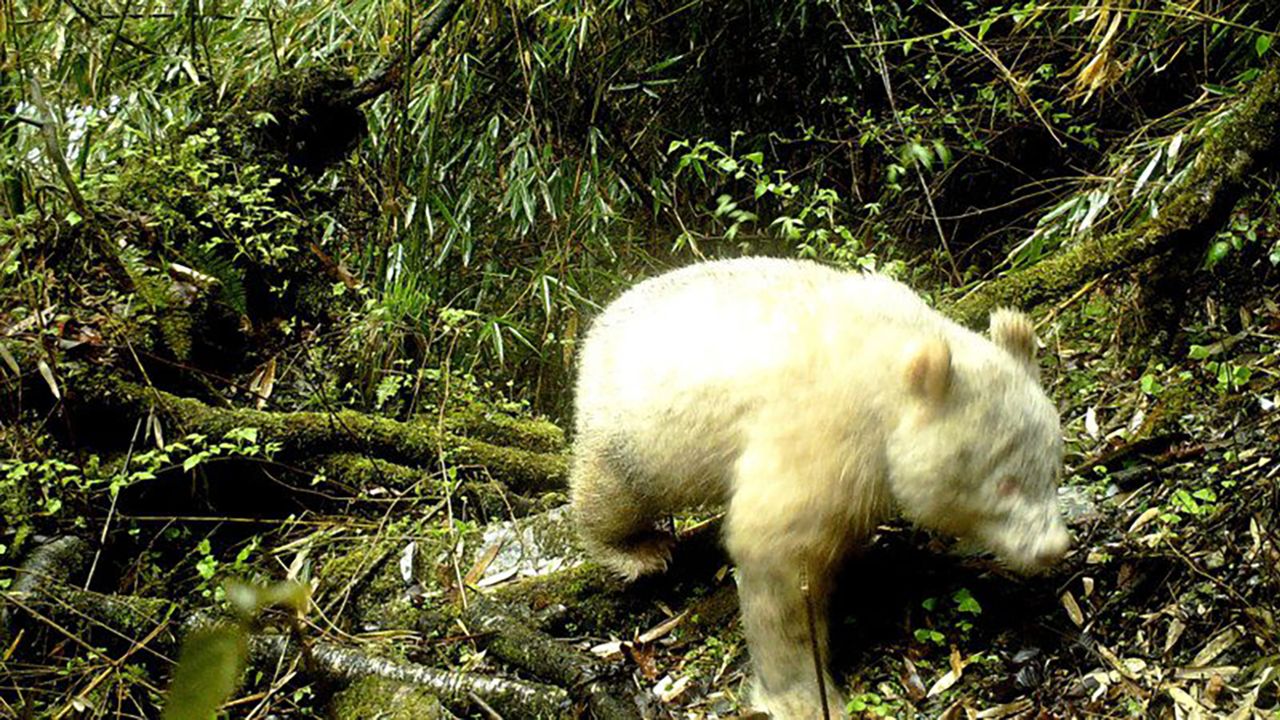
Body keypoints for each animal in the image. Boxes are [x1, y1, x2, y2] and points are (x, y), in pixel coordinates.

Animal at [573, 254, 1070, 712]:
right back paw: (637, 549)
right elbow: (776, 551)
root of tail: (599, 323)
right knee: (612, 492)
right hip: (635, 429)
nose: (1052, 547)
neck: (891, 363)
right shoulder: (824, 429)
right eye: (1005, 483)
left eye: (1053, 469)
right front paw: (801, 695)